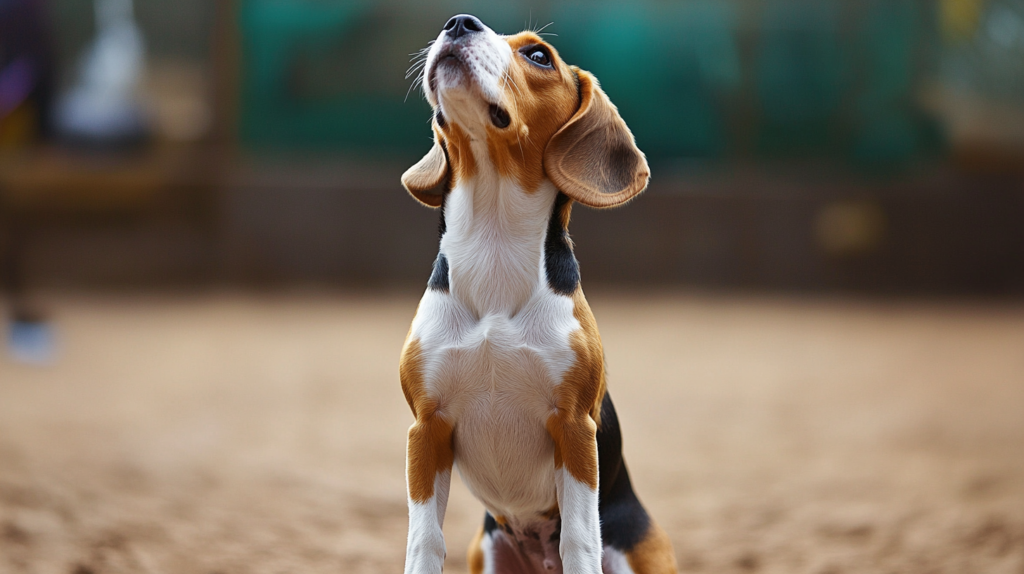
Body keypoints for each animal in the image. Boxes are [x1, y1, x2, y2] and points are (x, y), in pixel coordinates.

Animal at [399, 13, 679, 572]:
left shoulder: (574, 430)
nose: (458, 22)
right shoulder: (426, 429)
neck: (494, 245)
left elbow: (579, 538)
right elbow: (424, 540)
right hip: (486, 550)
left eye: (538, 57)